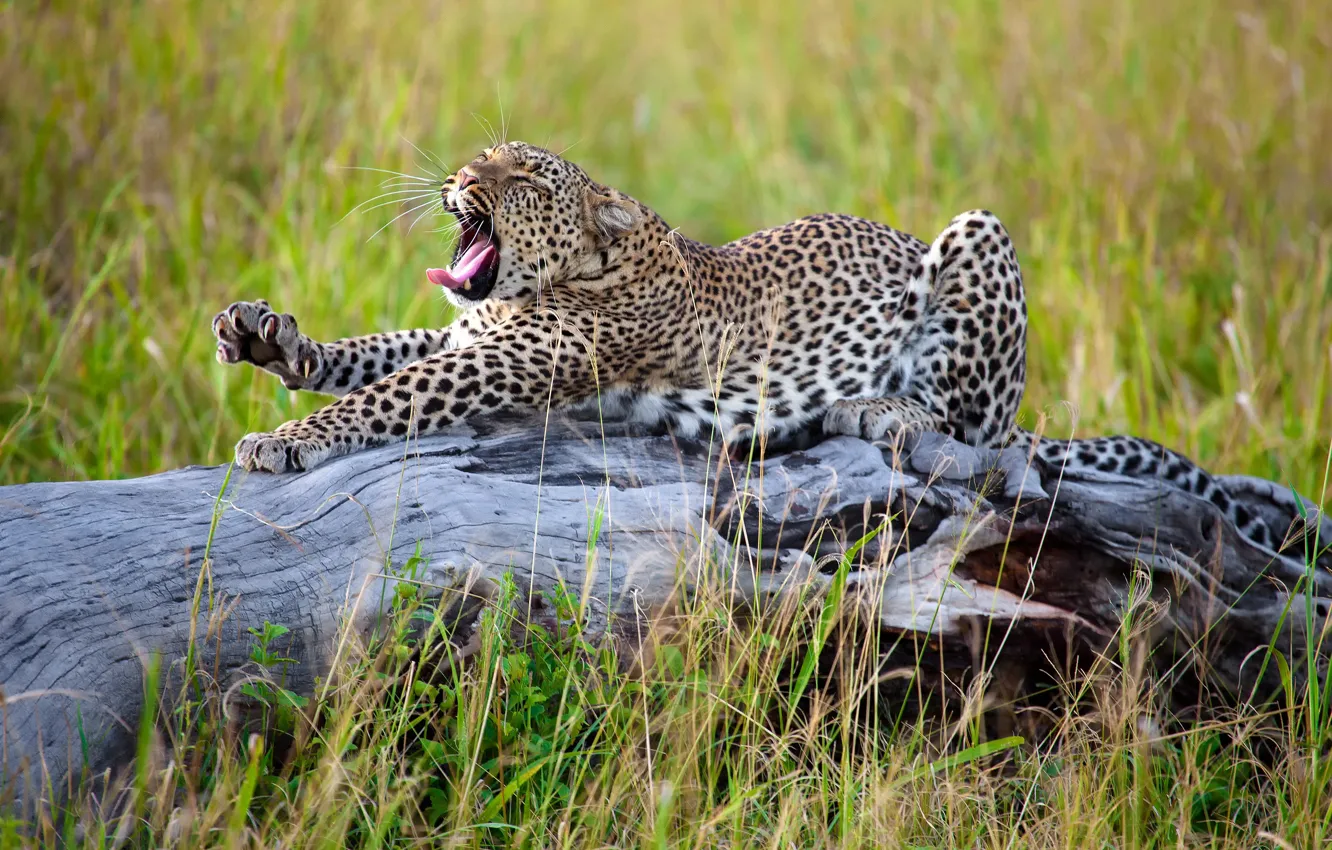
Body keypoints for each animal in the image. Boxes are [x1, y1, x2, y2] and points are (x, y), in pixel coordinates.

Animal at [212, 141, 1304, 553]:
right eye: (485, 155)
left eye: (521, 177)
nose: (460, 176)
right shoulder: (471, 331)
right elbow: (379, 351)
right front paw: (273, 340)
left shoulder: (506, 359)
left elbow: (392, 393)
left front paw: (284, 441)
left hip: (977, 238)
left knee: (986, 433)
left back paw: (877, 407)